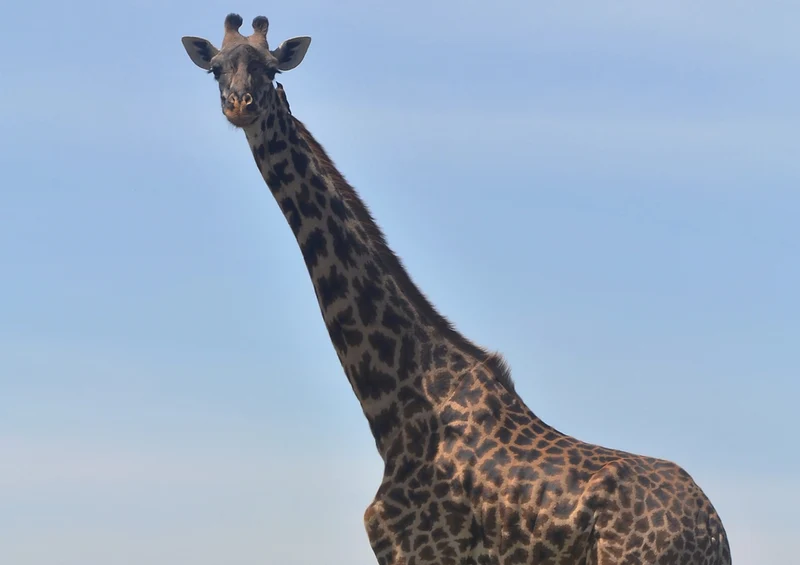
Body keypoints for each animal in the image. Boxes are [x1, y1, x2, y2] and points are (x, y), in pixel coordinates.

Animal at [180, 14, 732, 565]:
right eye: (216, 69)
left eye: (271, 69)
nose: (240, 106)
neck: (396, 407)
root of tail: (712, 531)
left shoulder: (423, 551)